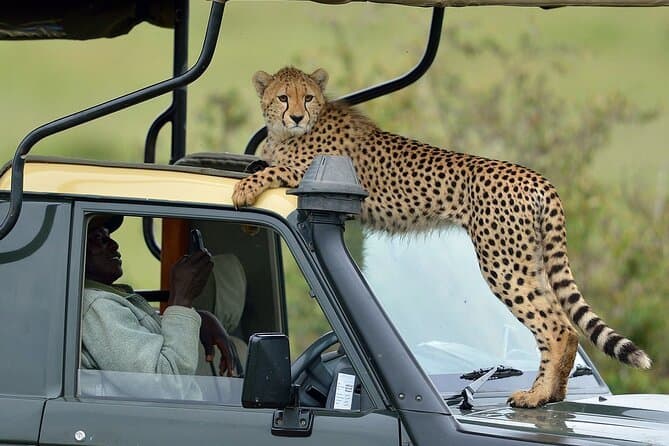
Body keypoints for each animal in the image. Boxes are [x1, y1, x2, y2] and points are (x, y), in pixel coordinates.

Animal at [232, 66, 652, 408]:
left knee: (558, 327)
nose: (297, 116)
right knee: (561, 324)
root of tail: (536, 176)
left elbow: (271, 169)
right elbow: (263, 160)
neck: (292, 131)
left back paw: (537, 396)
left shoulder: (309, 171)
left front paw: (243, 188)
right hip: (526, 259)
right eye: (283, 97)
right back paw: (551, 393)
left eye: (307, 97)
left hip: (503, 264)